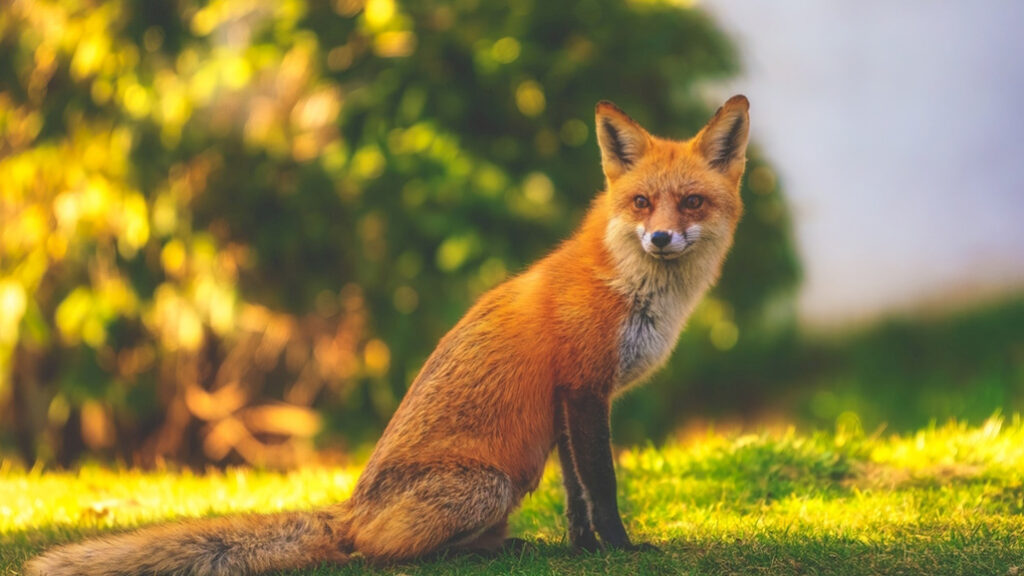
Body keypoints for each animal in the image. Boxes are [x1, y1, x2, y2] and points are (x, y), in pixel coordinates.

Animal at [25, 95, 750, 576]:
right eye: (640, 204)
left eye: (691, 203)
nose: (661, 238)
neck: (630, 287)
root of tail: (348, 508)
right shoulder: (583, 388)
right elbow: (602, 486)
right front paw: (622, 549)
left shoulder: (572, 399)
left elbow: (577, 494)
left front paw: (584, 550)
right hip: (490, 485)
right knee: (373, 552)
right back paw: (473, 551)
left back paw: (508, 545)